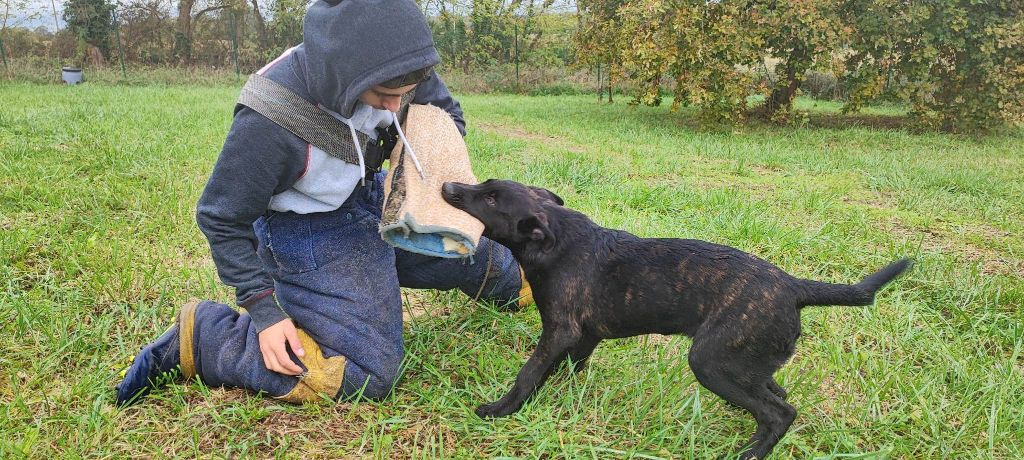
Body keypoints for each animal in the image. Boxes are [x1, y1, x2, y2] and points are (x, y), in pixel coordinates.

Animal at [440, 179, 913, 458]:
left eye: (491, 198)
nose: (448, 185)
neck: (557, 236)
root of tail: (794, 286)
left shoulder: (560, 330)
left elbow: (529, 372)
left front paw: (501, 409)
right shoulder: (586, 335)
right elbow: (569, 368)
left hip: (712, 362)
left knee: (780, 412)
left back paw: (749, 453)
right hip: (747, 362)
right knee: (777, 395)